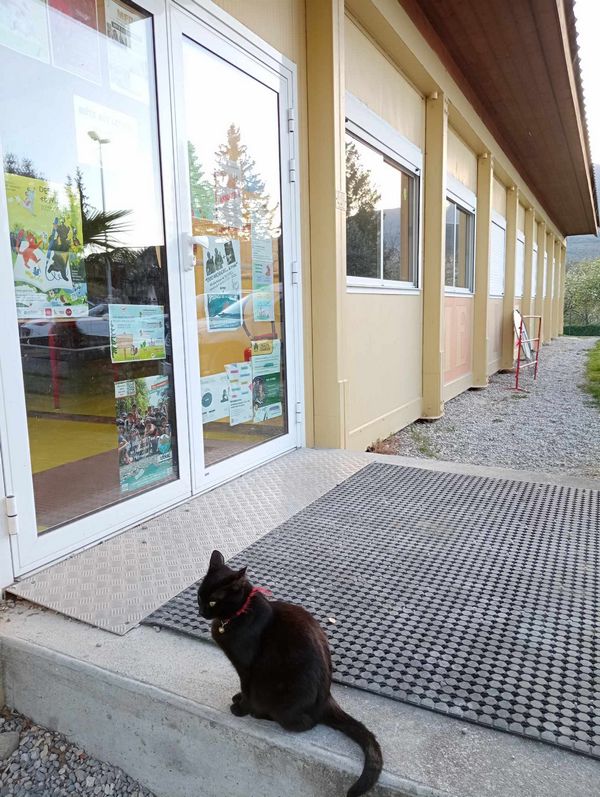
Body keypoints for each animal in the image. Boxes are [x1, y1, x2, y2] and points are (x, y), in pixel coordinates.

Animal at [198, 549, 383, 797]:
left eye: (213, 601)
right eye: (199, 596)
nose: (201, 611)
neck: (238, 614)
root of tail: (327, 699)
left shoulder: (246, 668)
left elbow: (247, 690)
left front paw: (241, 708)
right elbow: (242, 689)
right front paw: (238, 698)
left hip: (282, 701)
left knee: (306, 723)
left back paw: (260, 713)